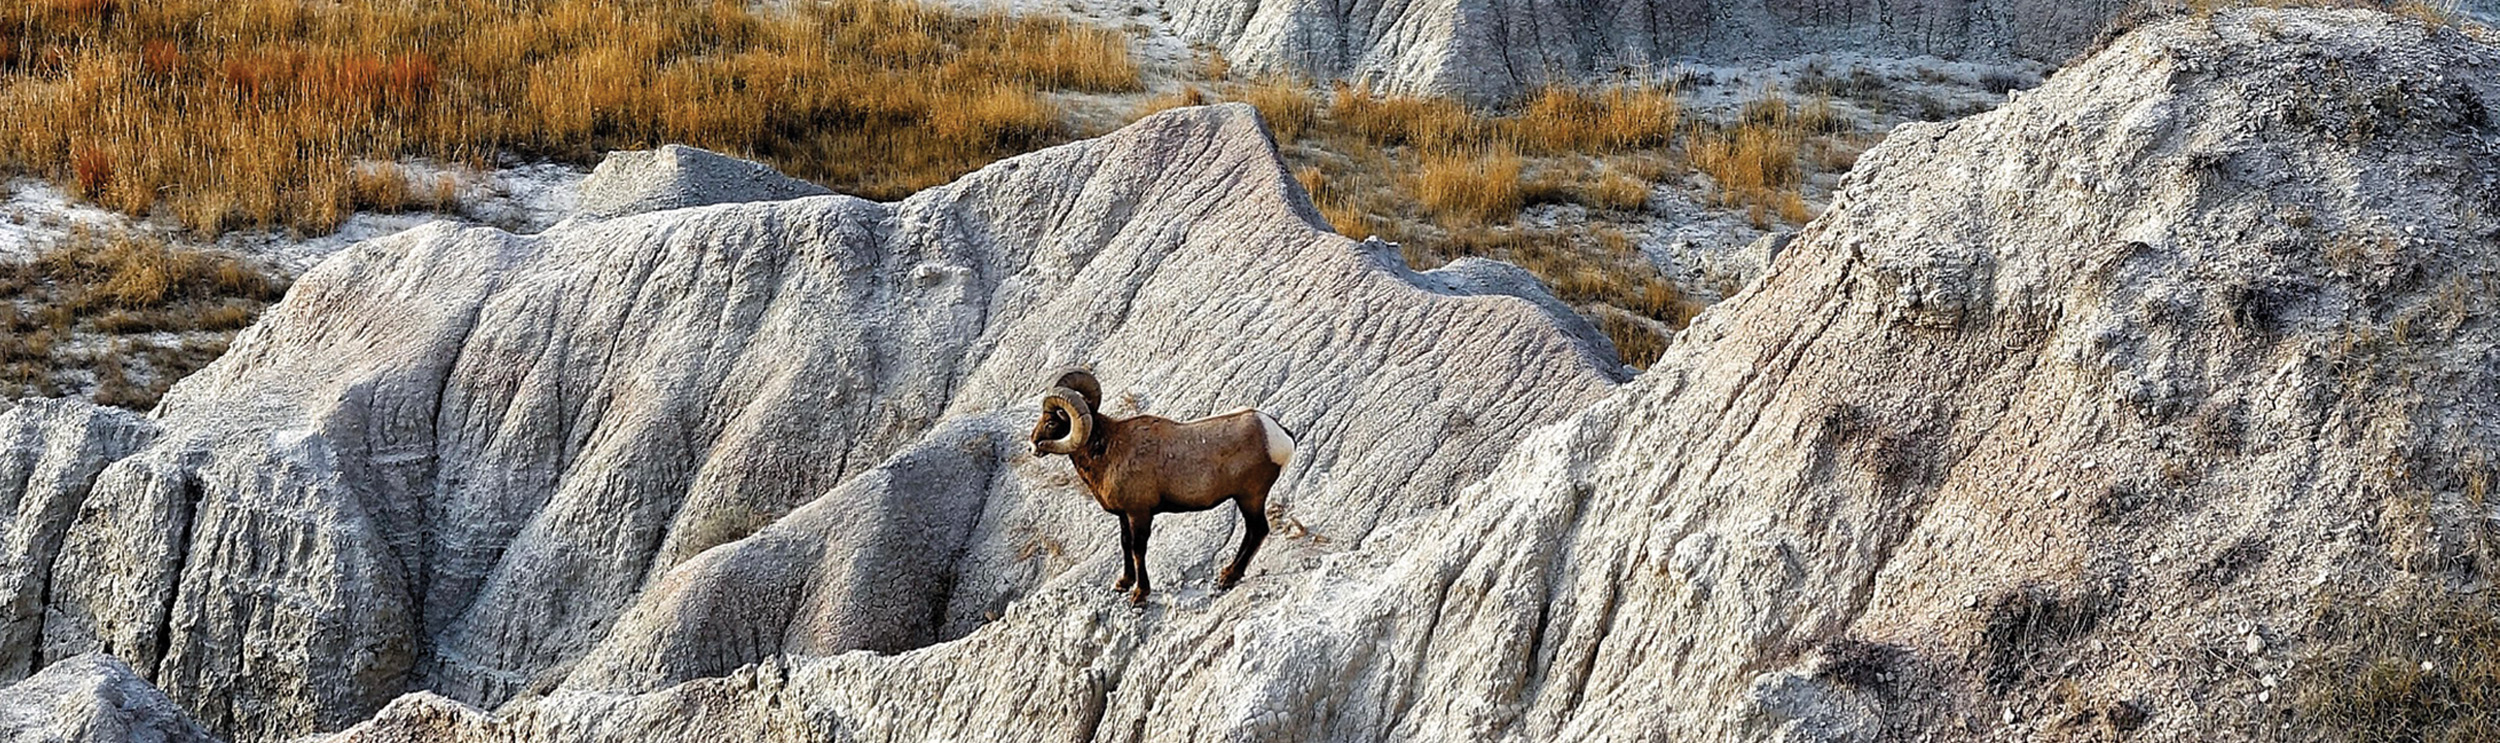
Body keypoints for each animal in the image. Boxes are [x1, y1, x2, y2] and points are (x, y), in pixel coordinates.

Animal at [1028, 368, 1295, 605]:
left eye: (1051, 421)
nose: (1032, 446)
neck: (1108, 450)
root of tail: (1279, 435)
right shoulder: (1125, 515)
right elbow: (1125, 543)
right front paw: (1123, 583)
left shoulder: (1140, 513)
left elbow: (1138, 549)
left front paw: (1139, 595)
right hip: (1246, 499)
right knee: (1252, 532)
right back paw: (1226, 574)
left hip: (1250, 496)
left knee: (1258, 530)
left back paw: (1228, 578)